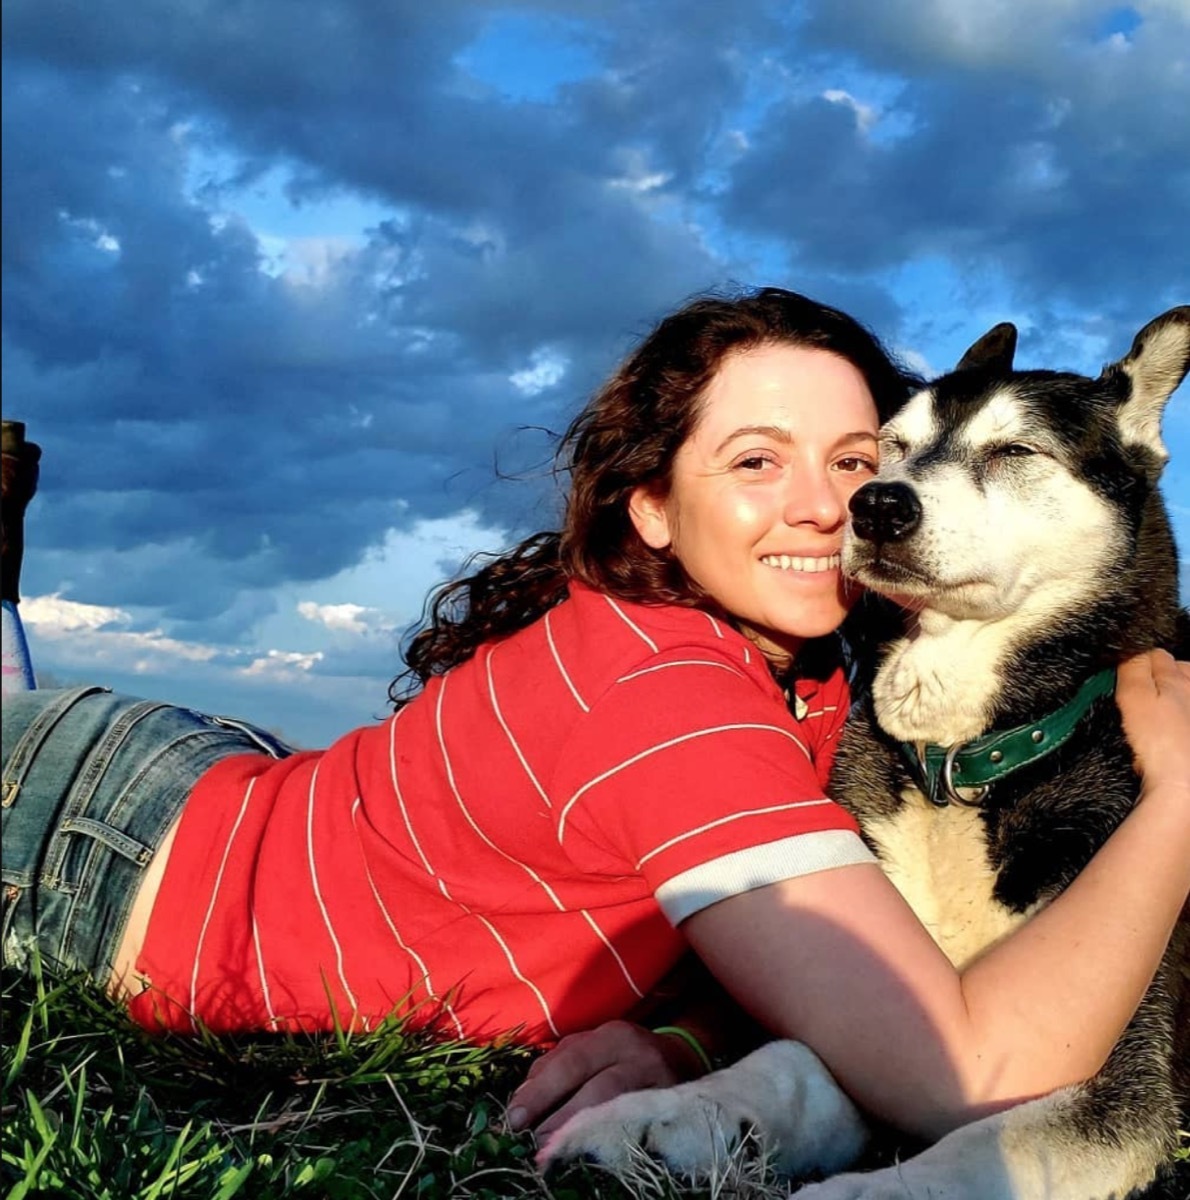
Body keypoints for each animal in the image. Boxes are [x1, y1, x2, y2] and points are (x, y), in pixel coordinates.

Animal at [542, 307, 1190, 1200]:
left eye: (1014, 451)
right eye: (888, 447)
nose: (875, 504)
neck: (960, 761)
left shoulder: (1125, 1079)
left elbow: (975, 1152)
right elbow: (792, 1060)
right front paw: (660, 1115)